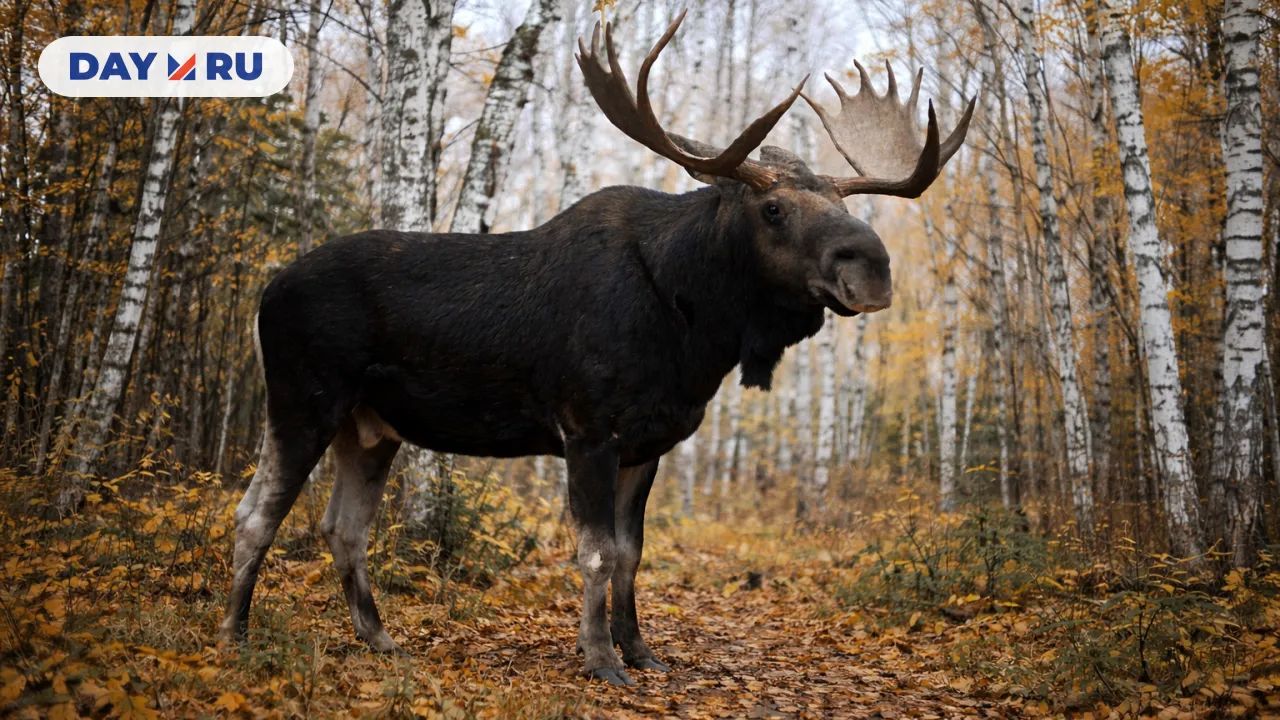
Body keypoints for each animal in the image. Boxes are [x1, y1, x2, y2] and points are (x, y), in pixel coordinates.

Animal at [219, 12, 973, 686]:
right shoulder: (587, 432)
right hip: (304, 400)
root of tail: (263, 291)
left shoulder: (648, 444)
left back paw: (379, 638)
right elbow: (596, 554)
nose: (871, 267)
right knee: (255, 513)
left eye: (844, 205)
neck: (694, 331)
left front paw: (640, 651)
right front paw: (601, 659)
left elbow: (634, 554)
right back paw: (236, 634)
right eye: (773, 209)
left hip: (371, 428)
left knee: (342, 527)